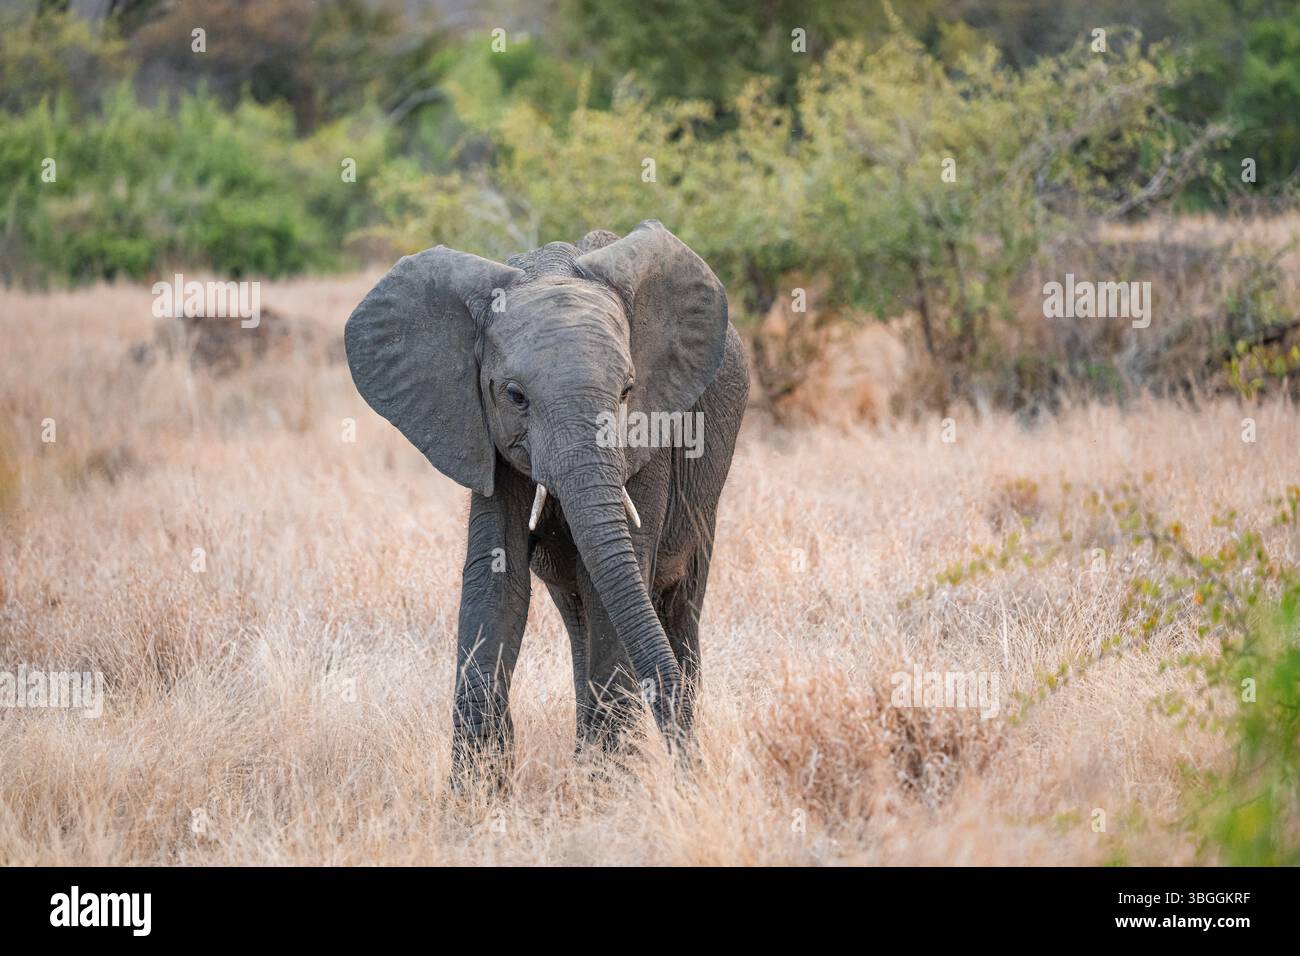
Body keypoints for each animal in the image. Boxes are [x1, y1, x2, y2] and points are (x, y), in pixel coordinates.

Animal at [344, 220, 749, 779]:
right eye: (515, 396)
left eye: (627, 392)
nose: (696, 770)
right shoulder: (480, 429)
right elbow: (497, 578)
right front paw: (475, 791)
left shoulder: (650, 435)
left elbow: (614, 581)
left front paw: (606, 790)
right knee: (579, 613)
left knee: (676, 603)